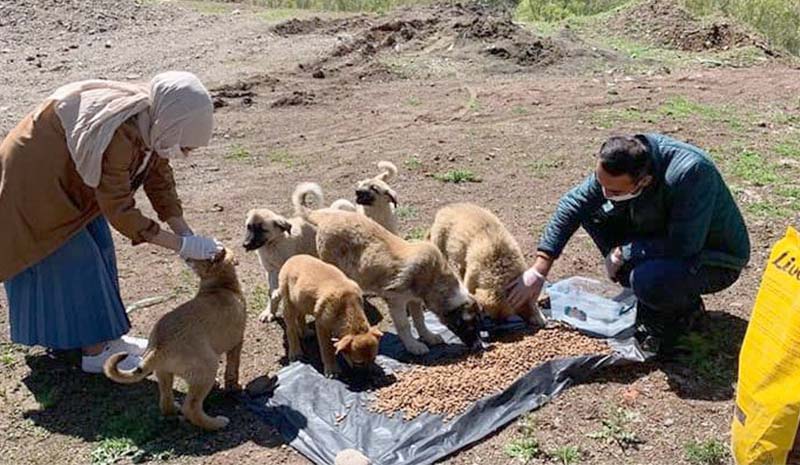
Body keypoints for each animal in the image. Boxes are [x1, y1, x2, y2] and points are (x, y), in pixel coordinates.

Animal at [104, 248, 247, 430]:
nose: (186, 257)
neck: (222, 286)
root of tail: (159, 347)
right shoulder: (237, 343)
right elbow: (232, 369)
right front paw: (235, 387)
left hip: (164, 373)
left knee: (165, 402)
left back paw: (174, 410)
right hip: (208, 366)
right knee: (191, 408)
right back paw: (216, 423)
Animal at [242, 182, 324, 322]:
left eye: (262, 229)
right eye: (249, 227)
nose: (245, 245)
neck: (273, 245)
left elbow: (278, 291)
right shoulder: (271, 271)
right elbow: (271, 293)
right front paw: (269, 312)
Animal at [296, 191, 478, 352]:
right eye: (468, 325)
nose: (478, 347)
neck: (433, 277)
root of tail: (326, 216)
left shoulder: (414, 300)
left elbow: (419, 320)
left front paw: (429, 337)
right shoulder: (396, 300)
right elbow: (404, 325)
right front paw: (413, 346)